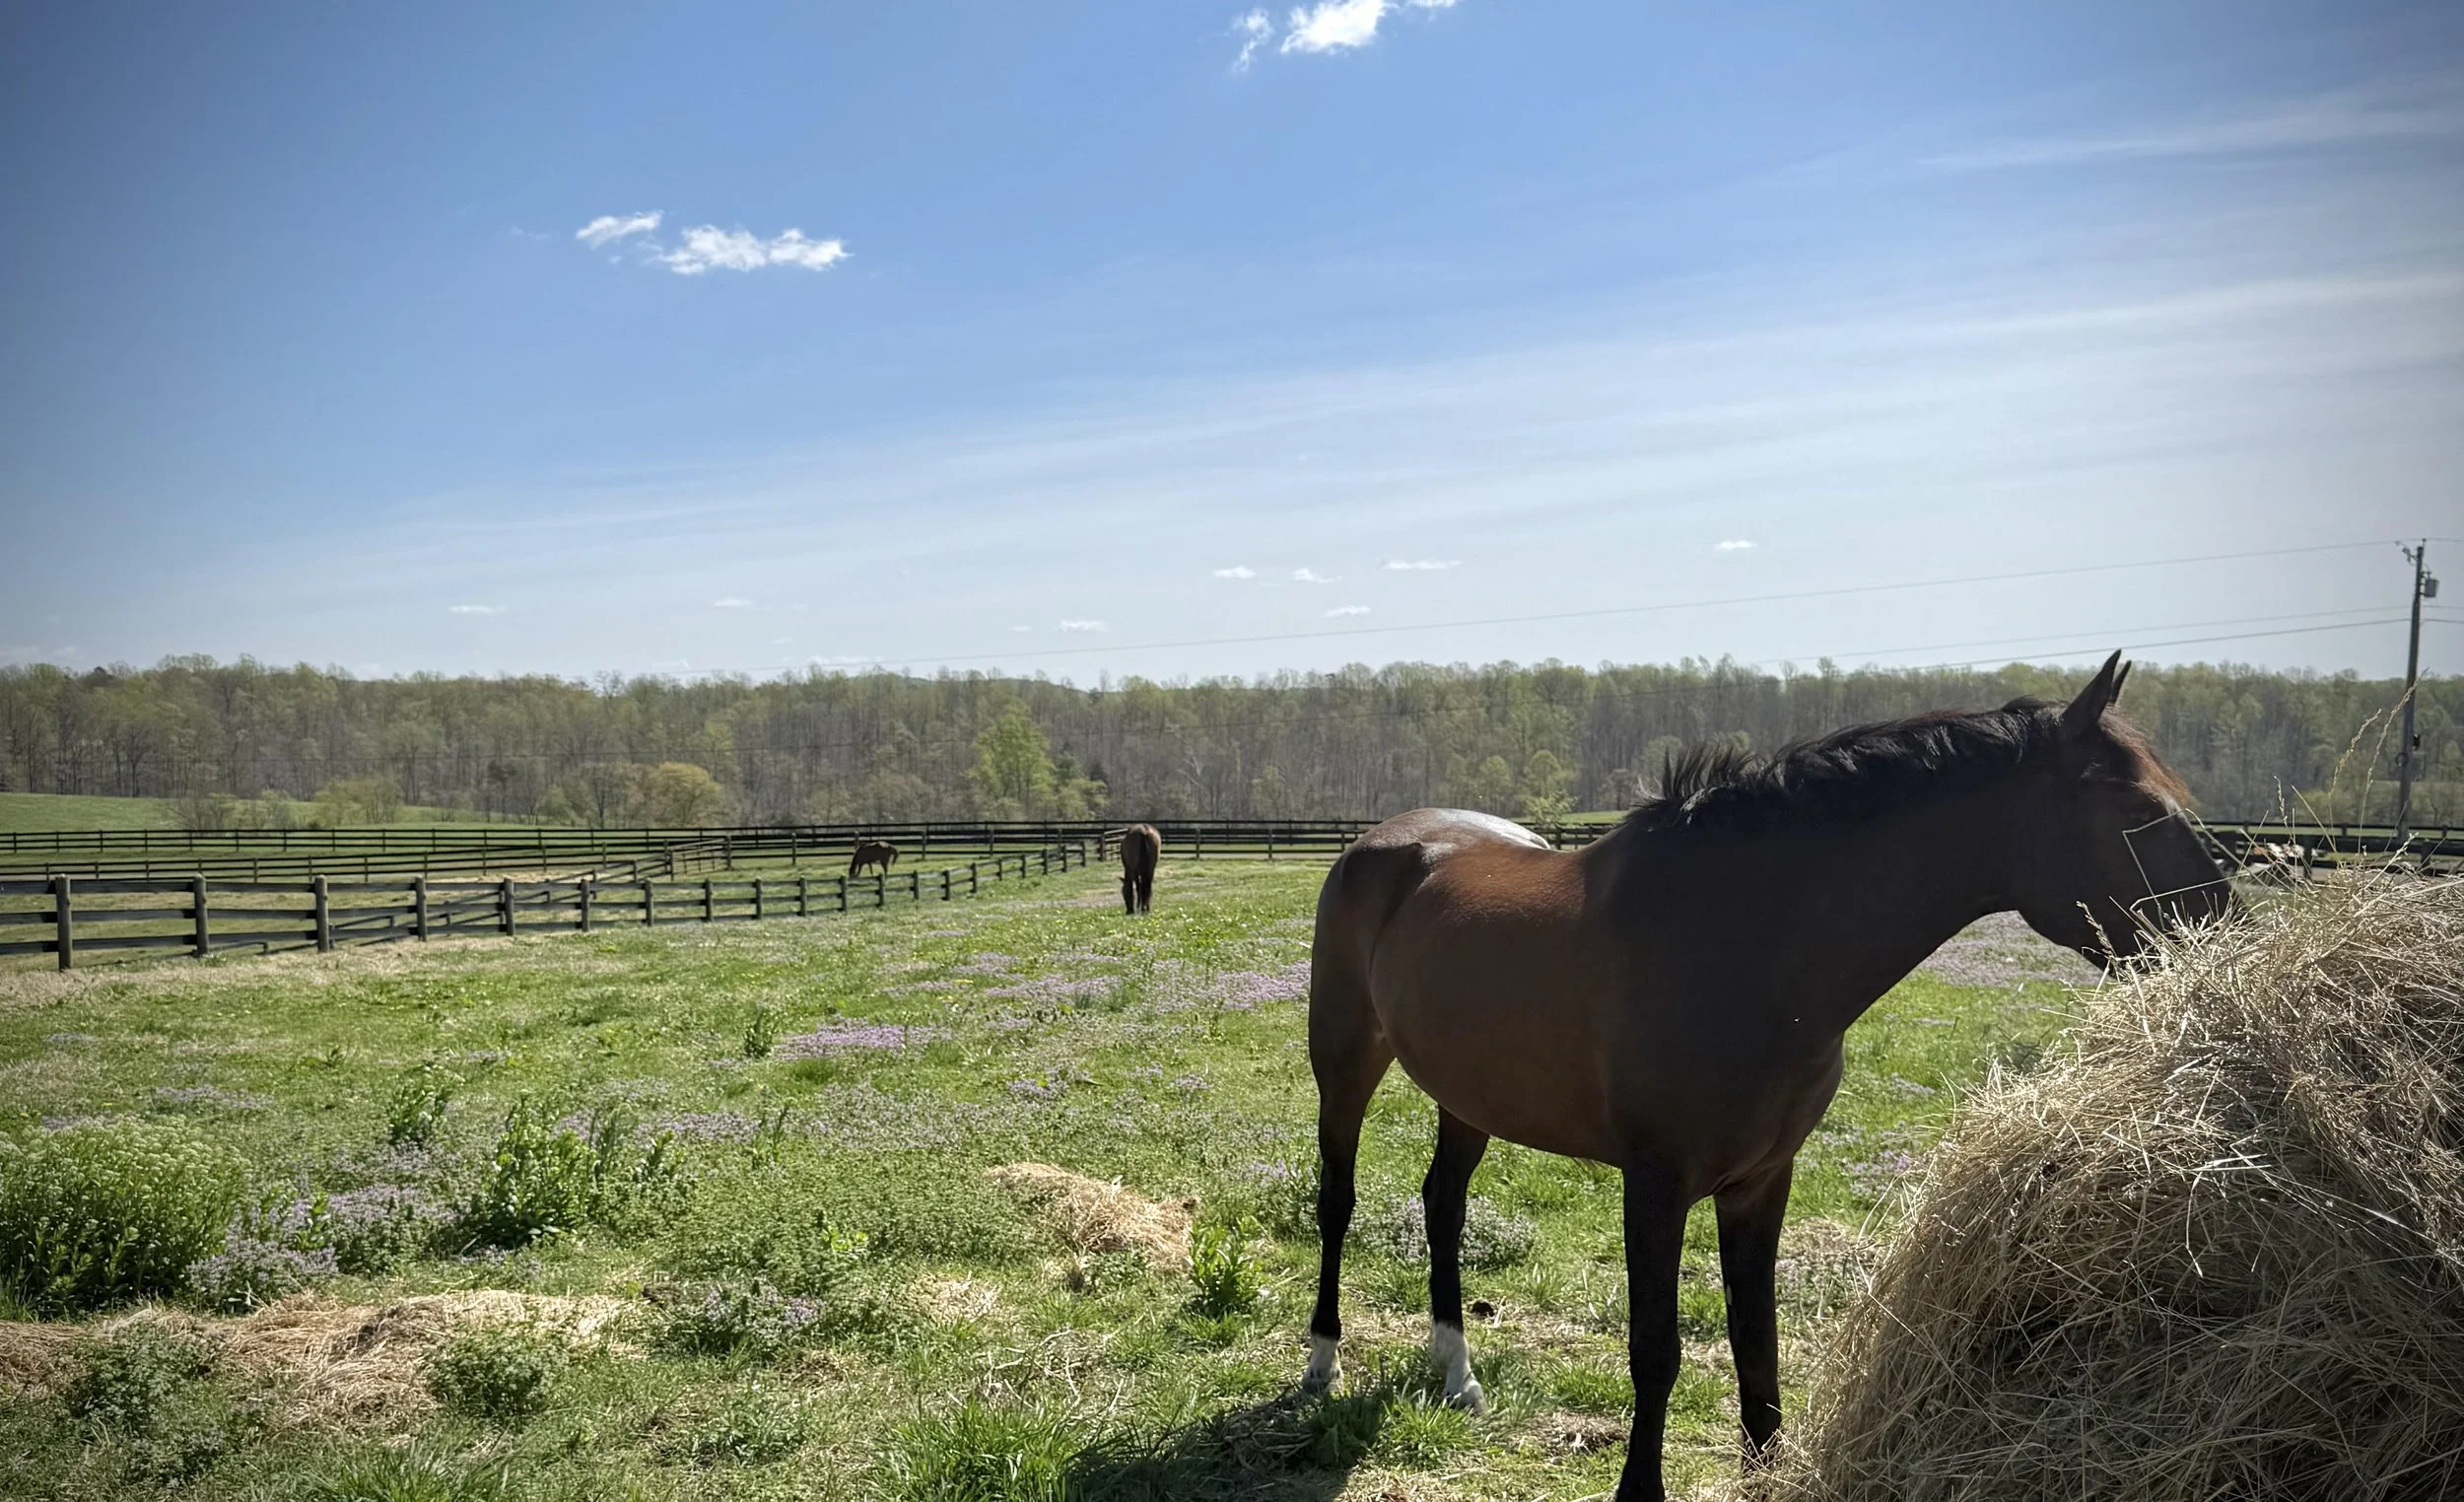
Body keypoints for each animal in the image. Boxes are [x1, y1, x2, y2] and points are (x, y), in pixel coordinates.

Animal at [1301, 654, 2231, 1501]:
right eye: (2141, 811)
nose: (2222, 929)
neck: (1747, 947)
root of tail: (1389, 841)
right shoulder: (1656, 1184)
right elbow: (1657, 1350)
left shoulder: (1762, 1179)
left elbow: (1759, 1342)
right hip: (1344, 1067)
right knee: (1338, 1203)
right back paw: (1322, 1365)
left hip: (1468, 1093)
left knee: (1444, 1205)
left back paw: (1457, 1375)